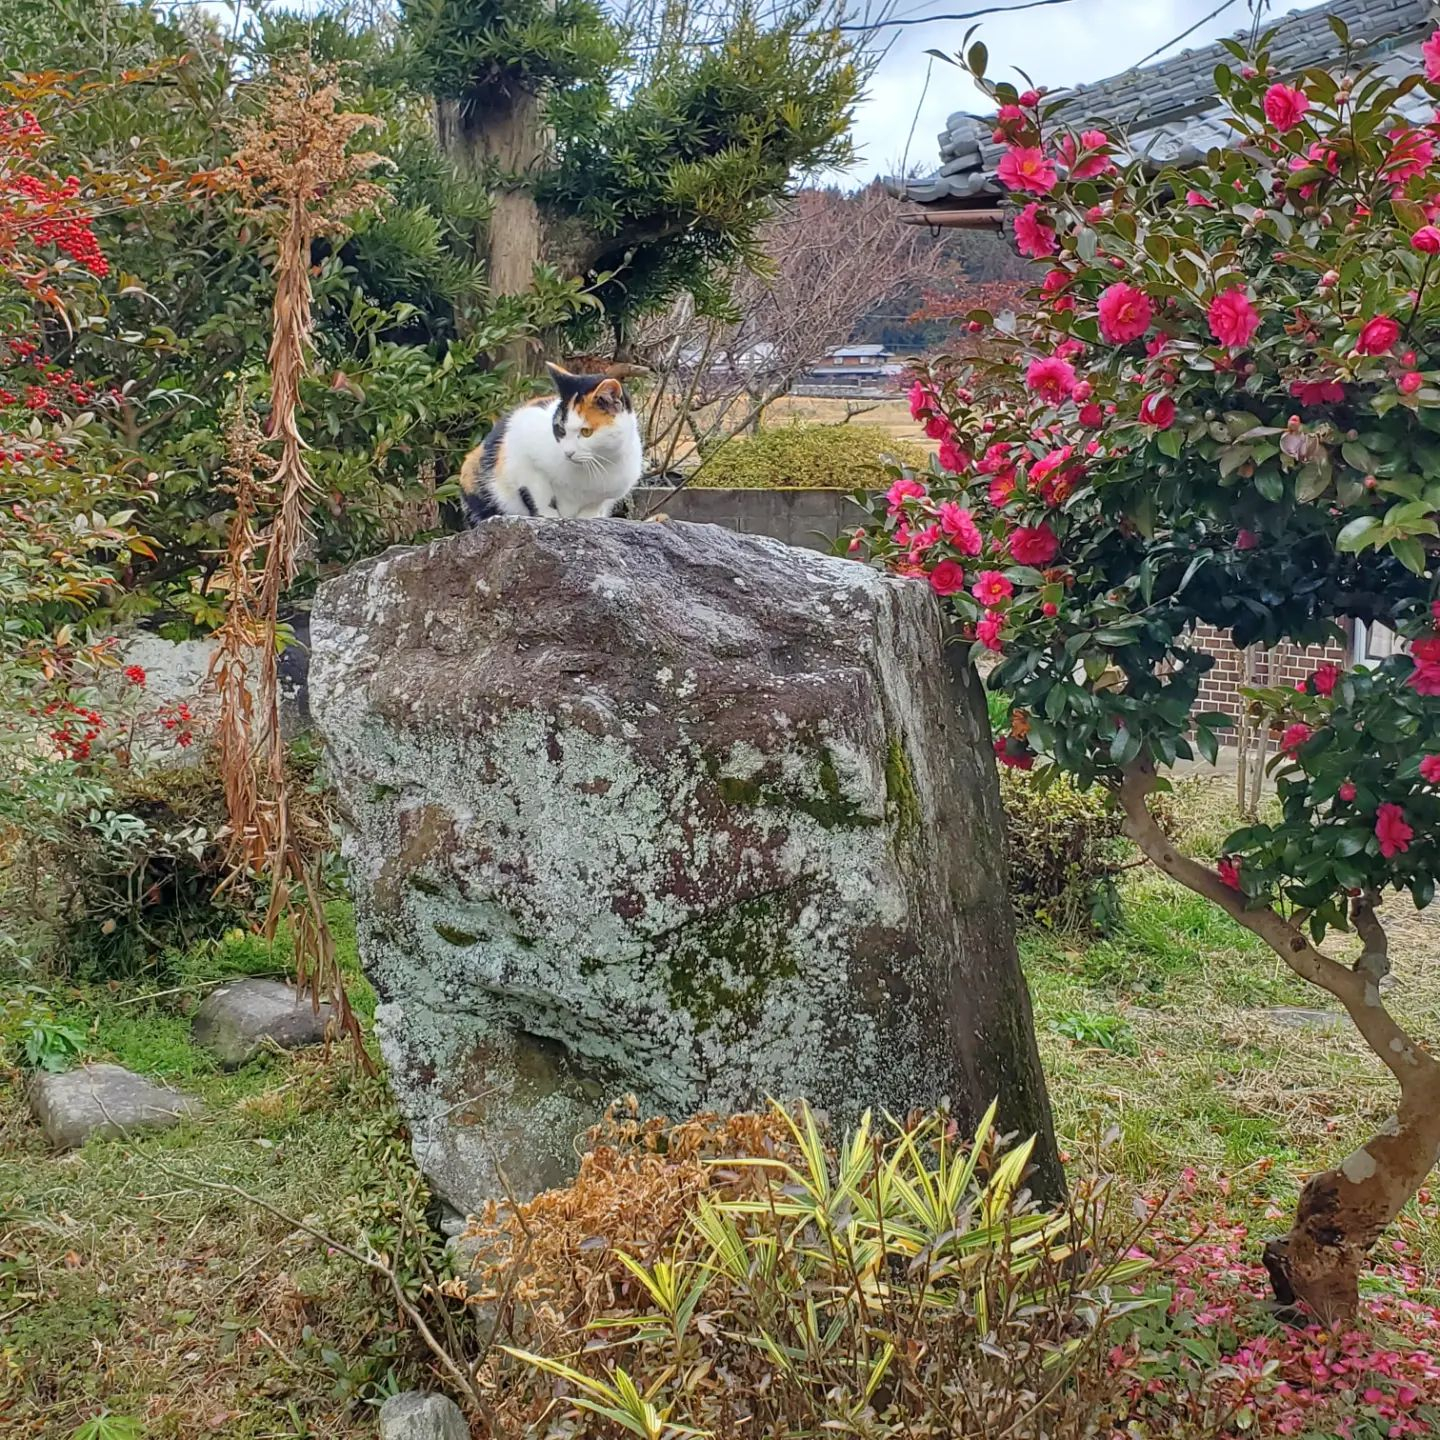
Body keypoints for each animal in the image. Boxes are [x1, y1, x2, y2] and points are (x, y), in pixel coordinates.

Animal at [460, 360, 642, 524]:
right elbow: (540, 496)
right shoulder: (523, 458)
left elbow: (590, 510)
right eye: (560, 429)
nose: (568, 453)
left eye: (586, 432)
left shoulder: (603, 496)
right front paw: (549, 517)